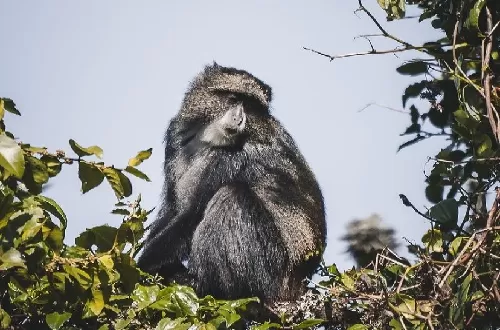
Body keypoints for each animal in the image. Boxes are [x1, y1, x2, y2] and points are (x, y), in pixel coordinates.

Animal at [137, 63, 326, 302]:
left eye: (251, 106)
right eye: (234, 98)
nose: (240, 118)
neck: (206, 140)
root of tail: (298, 285)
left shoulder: (232, 159)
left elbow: (190, 215)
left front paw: (139, 269)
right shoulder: (175, 136)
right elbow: (173, 208)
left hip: (271, 273)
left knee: (232, 196)